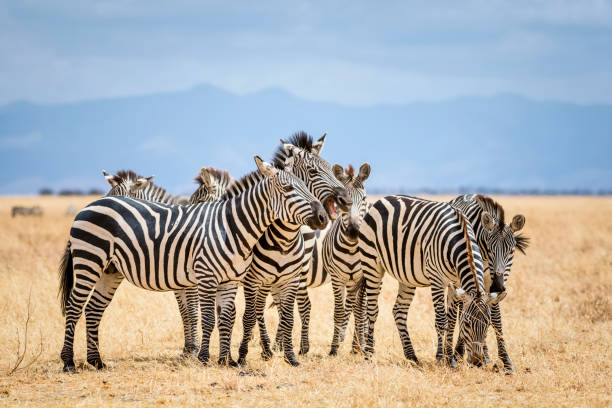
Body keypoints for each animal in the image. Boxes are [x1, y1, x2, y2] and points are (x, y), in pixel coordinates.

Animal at [57, 155, 330, 372]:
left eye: (305, 186)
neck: (232, 227)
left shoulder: (229, 281)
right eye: (287, 188)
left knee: (93, 309)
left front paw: (226, 360)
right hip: (89, 260)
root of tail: (91, 204)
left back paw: (97, 362)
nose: (323, 217)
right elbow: (205, 317)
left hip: (109, 270)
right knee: (74, 307)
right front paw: (203, 357)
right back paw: (69, 362)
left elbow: (226, 318)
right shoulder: (205, 276)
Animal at [234, 133, 352, 366]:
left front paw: (279, 349)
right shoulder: (257, 278)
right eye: (313, 172)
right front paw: (266, 348)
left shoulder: (289, 276)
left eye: (331, 167)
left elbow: (282, 312)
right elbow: (255, 312)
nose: (346, 200)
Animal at [356, 195, 504, 366]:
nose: (477, 362)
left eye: (488, 324)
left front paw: (450, 359)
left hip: (406, 276)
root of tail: (382, 199)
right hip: (372, 264)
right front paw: (440, 358)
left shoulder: (456, 283)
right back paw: (369, 354)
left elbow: (451, 321)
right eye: (467, 323)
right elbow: (441, 320)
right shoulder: (437, 280)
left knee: (399, 311)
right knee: (372, 309)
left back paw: (412, 356)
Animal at [444, 193, 524, 372]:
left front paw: (505, 360)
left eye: (511, 251)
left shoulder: (490, 284)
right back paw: (459, 352)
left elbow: (495, 317)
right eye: (490, 249)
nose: (499, 286)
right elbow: (462, 314)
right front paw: (458, 353)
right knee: (458, 309)